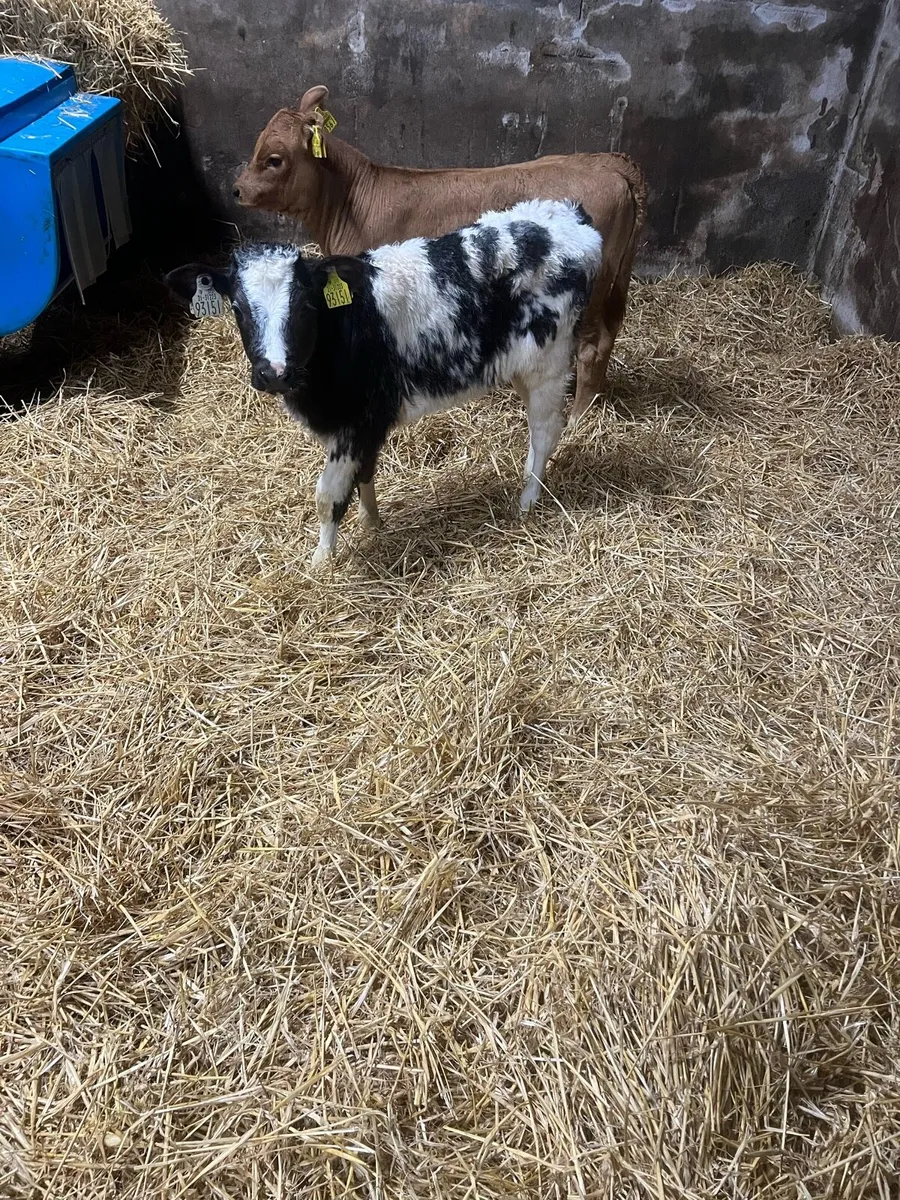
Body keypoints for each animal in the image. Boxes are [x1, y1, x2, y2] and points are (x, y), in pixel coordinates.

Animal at [166, 199, 604, 566]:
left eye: (305, 305)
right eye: (238, 308)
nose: (274, 372)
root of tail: (570, 217)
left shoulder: (355, 420)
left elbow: (327, 495)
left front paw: (321, 562)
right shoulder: (365, 421)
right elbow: (365, 472)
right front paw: (372, 523)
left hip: (549, 362)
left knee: (546, 430)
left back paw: (527, 500)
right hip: (521, 367)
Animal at [232, 85, 647, 424]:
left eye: (273, 159)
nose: (237, 190)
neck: (352, 202)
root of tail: (608, 166)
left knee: (592, 346)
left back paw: (578, 419)